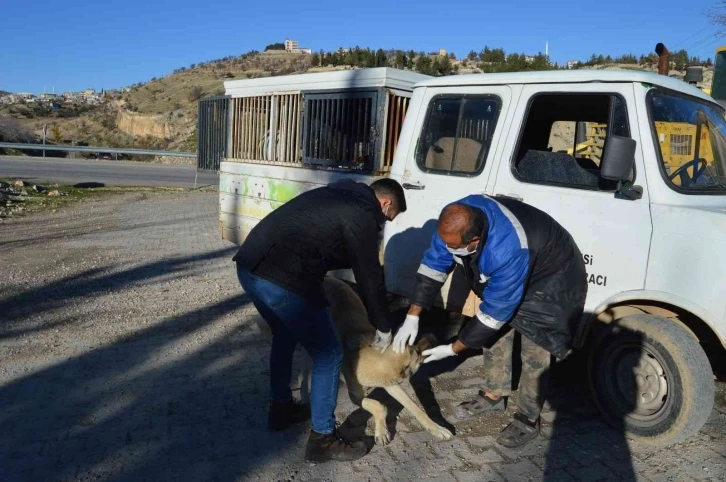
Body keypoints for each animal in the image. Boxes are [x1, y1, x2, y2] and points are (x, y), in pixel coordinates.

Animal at [253, 274, 452, 444]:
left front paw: (437, 428)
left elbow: (416, 408)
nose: (432, 337)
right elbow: (379, 406)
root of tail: (327, 278)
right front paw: (382, 431)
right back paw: (303, 398)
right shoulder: (356, 396)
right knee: (303, 375)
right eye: (418, 355)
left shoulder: (392, 385)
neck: (372, 358)